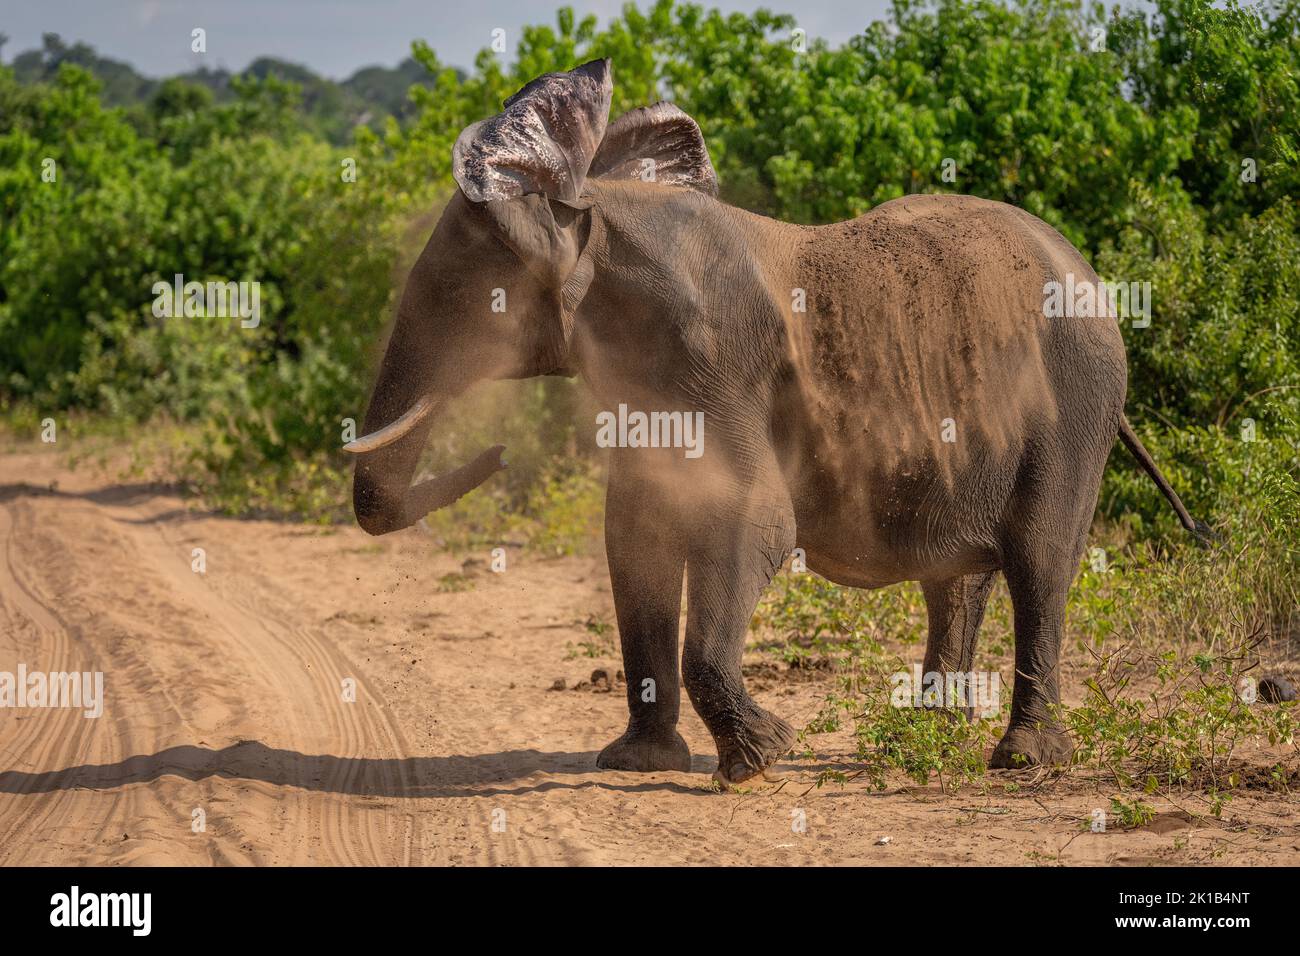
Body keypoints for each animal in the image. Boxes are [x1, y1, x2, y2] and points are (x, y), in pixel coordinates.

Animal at [346, 59, 1209, 785]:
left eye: (469, 293)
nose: (491, 450)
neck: (602, 210)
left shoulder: (719, 365)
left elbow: (751, 522)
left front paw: (761, 760)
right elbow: (635, 537)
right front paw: (637, 764)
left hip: (1078, 404)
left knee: (1040, 560)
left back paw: (1022, 759)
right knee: (959, 580)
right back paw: (930, 738)